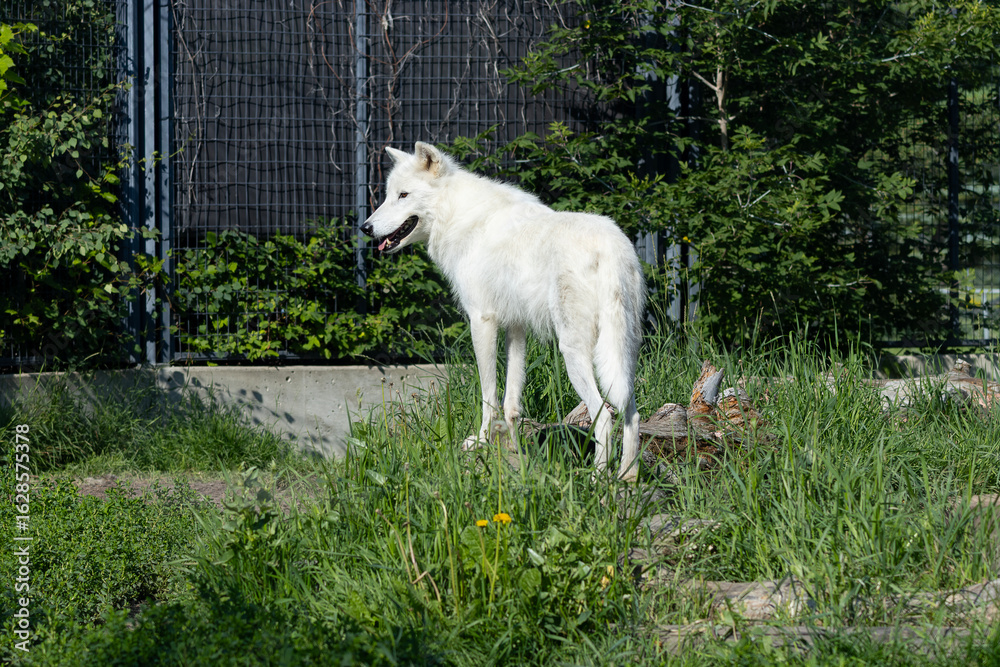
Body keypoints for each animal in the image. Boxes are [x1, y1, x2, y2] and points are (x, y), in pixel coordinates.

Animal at [361, 142, 646, 481]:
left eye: (403, 195)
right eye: (388, 195)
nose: (365, 228)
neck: (457, 215)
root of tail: (611, 248)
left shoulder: (482, 320)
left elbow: (489, 396)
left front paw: (482, 441)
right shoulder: (516, 326)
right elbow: (511, 402)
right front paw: (514, 452)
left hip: (573, 352)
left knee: (603, 416)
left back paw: (597, 479)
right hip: (624, 352)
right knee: (632, 413)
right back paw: (628, 477)